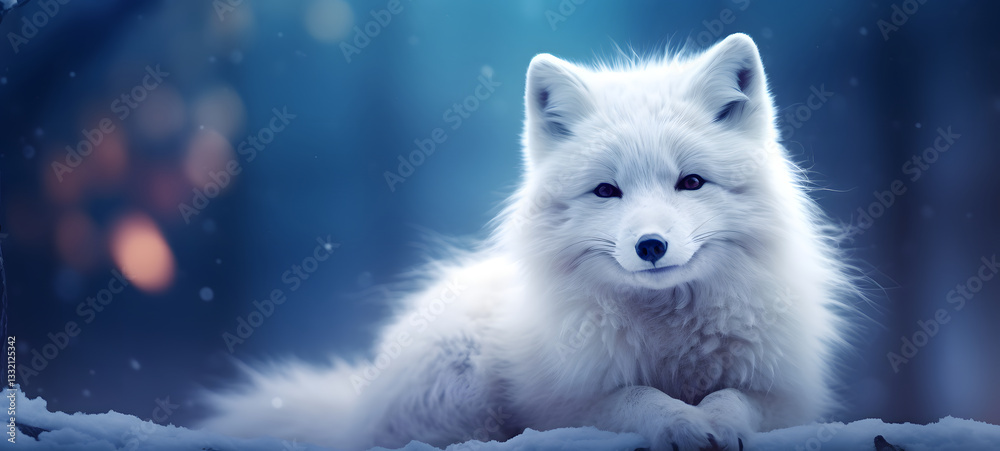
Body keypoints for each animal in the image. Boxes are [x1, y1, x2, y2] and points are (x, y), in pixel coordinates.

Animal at [203, 33, 855, 451]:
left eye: (690, 182)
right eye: (607, 191)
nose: (650, 245)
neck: (670, 336)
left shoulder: (786, 393)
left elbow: (734, 400)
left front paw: (716, 422)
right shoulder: (566, 401)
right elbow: (636, 397)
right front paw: (679, 424)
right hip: (459, 371)